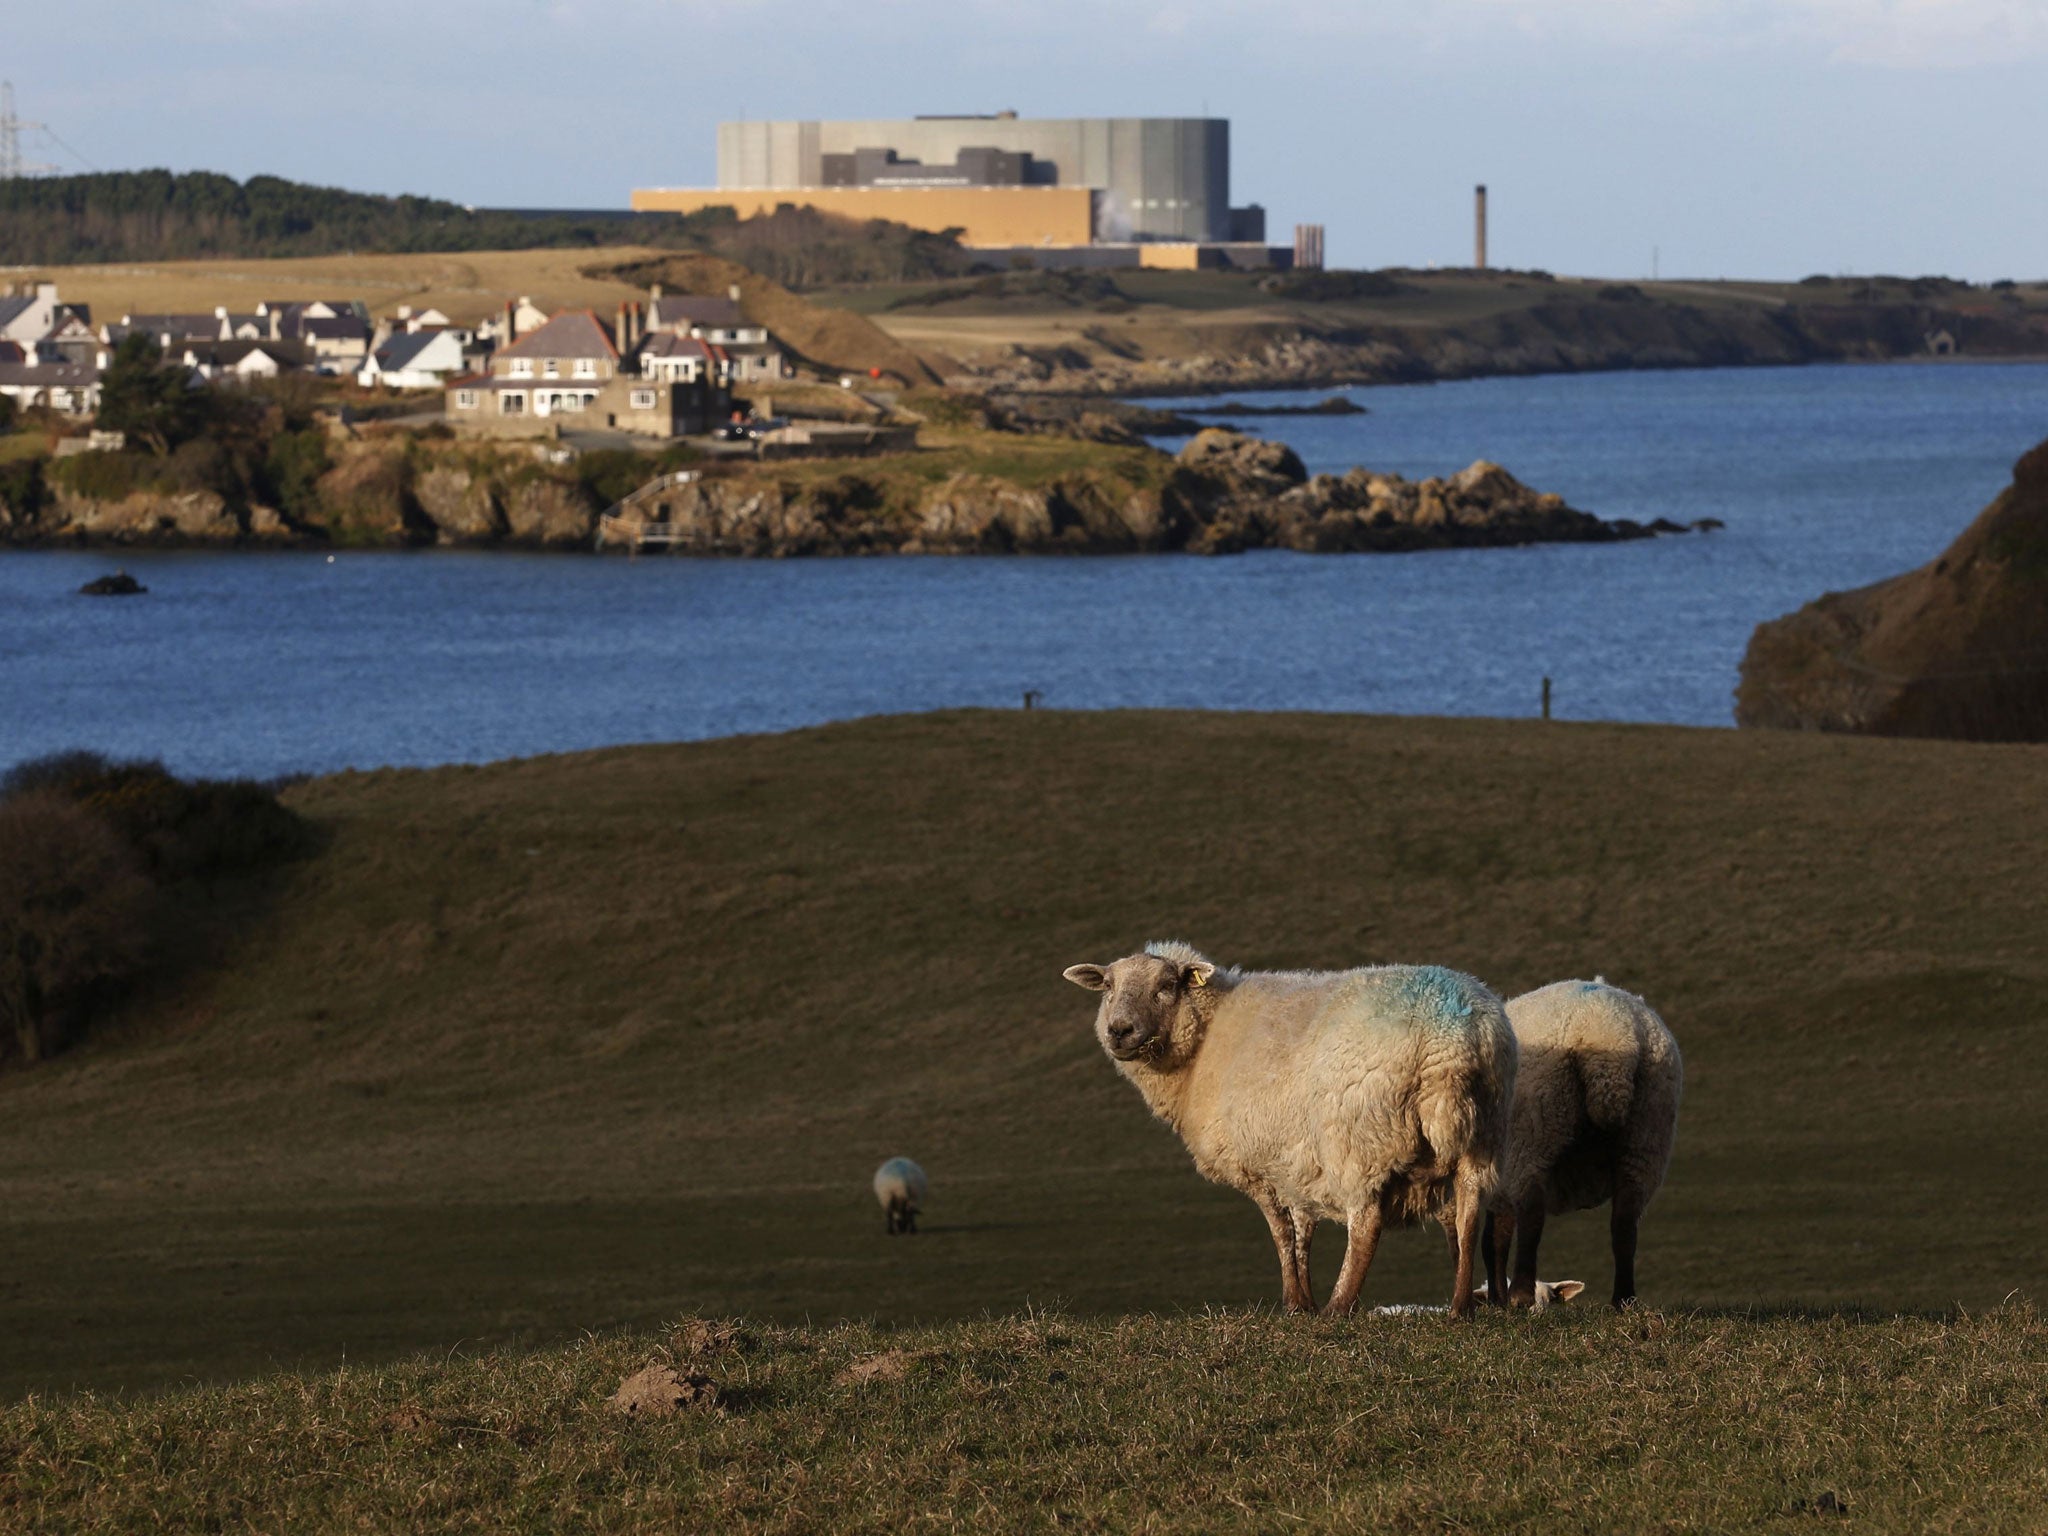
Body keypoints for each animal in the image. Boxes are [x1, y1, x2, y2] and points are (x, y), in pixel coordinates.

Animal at [1056, 946, 1523, 1318]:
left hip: (1361, 1137)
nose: (1119, 1030)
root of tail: (1452, 1039)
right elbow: (1302, 1233)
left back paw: (1339, 1307)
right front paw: (1303, 1301)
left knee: (1366, 1222)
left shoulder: (1259, 1164)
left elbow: (1281, 1233)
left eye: (1167, 984)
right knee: (1467, 1214)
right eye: (1108, 986)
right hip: (1484, 1134)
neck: (1204, 1043)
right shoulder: (1294, 1161)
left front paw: (1296, 1304)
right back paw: (1460, 1307)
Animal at [1482, 978, 1687, 1318]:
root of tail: (1607, 1029)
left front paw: (1497, 1299)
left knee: (1532, 1214)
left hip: (1534, 1127)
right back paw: (1623, 1300)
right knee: (1625, 1223)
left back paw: (1521, 1295)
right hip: (1646, 1133)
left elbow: (1494, 1239)